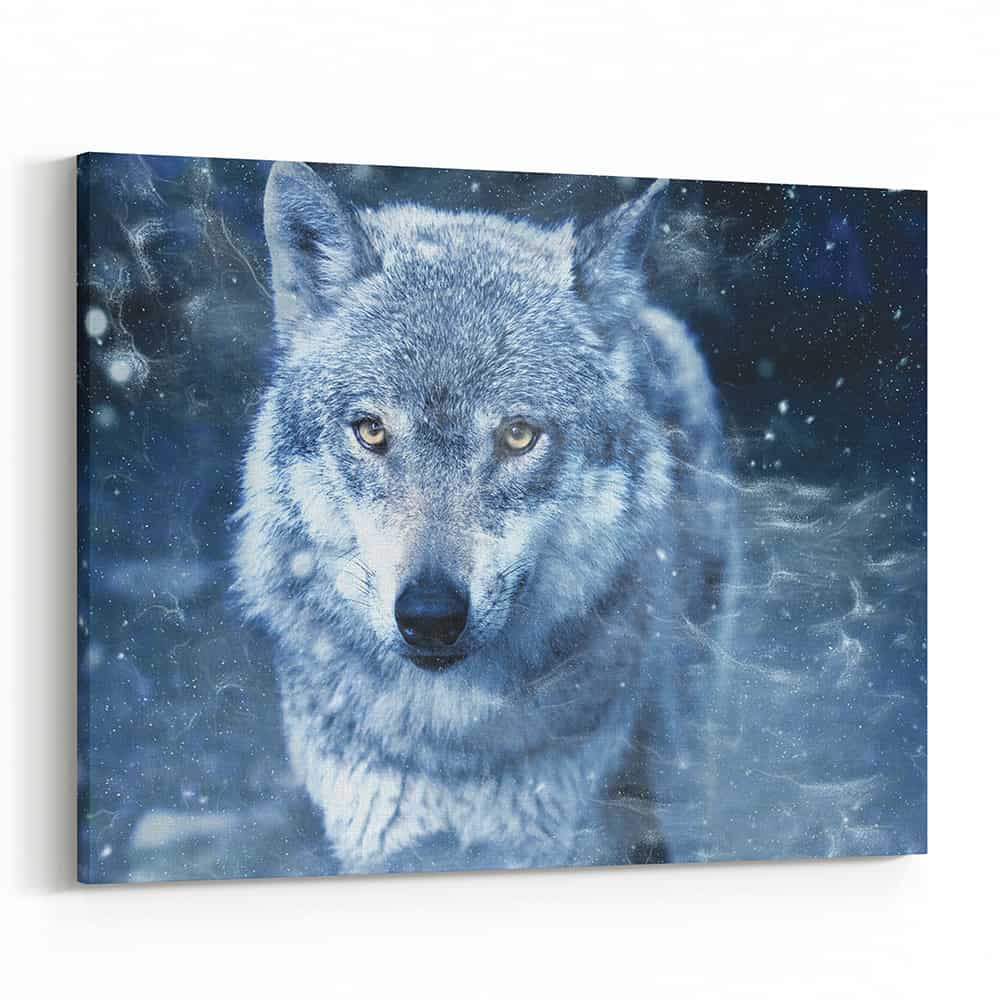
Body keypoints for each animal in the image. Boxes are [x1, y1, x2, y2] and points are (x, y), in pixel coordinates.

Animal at [235, 162, 740, 875]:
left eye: (518, 435)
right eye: (371, 431)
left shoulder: (536, 844)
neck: (450, 747)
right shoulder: (377, 845)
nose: (429, 616)